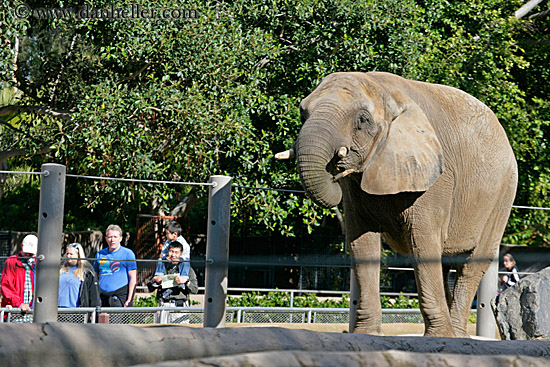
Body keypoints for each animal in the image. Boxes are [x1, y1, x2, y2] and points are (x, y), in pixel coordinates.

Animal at [278, 72, 520, 340]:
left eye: (362, 119)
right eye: (302, 113)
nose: (336, 167)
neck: (384, 90)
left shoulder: (436, 177)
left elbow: (423, 242)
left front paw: (438, 337)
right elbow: (362, 244)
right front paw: (367, 334)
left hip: (503, 194)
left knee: (470, 265)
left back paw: (456, 335)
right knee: (445, 263)